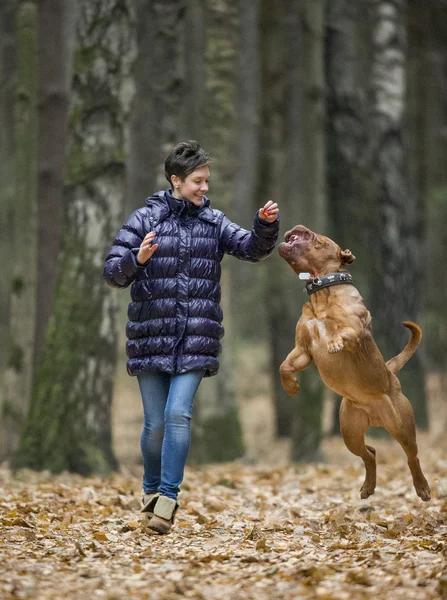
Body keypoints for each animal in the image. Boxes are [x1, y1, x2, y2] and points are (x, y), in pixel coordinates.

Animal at [280, 225, 430, 502]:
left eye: (318, 239)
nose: (300, 227)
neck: (321, 289)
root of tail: (391, 373)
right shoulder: (302, 350)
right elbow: (284, 366)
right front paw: (291, 386)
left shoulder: (355, 329)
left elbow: (343, 332)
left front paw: (334, 342)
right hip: (350, 432)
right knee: (370, 453)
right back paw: (368, 486)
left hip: (402, 427)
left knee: (412, 457)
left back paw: (422, 487)